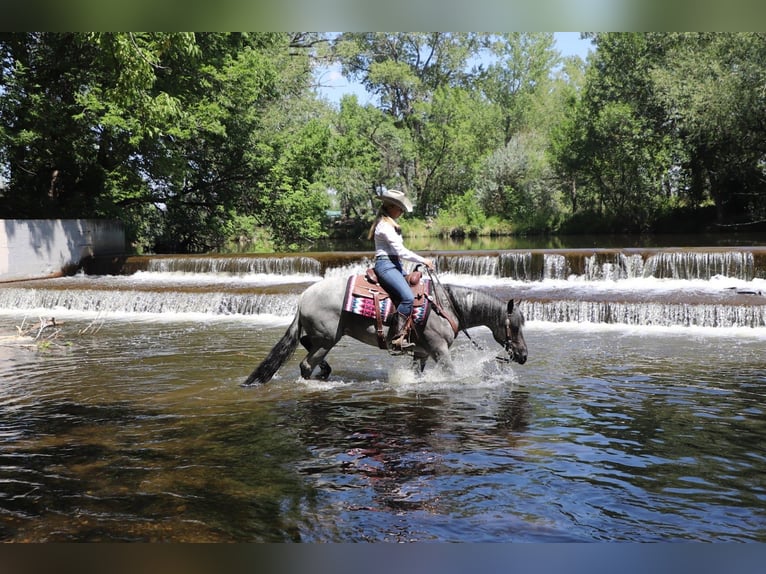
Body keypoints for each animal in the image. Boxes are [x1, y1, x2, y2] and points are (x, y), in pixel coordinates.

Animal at [242, 274, 527, 386]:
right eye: (514, 326)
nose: (523, 355)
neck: (447, 306)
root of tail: (303, 299)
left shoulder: (421, 353)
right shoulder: (439, 350)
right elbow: (452, 373)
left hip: (321, 338)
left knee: (307, 349)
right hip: (326, 340)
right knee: (305, 364)